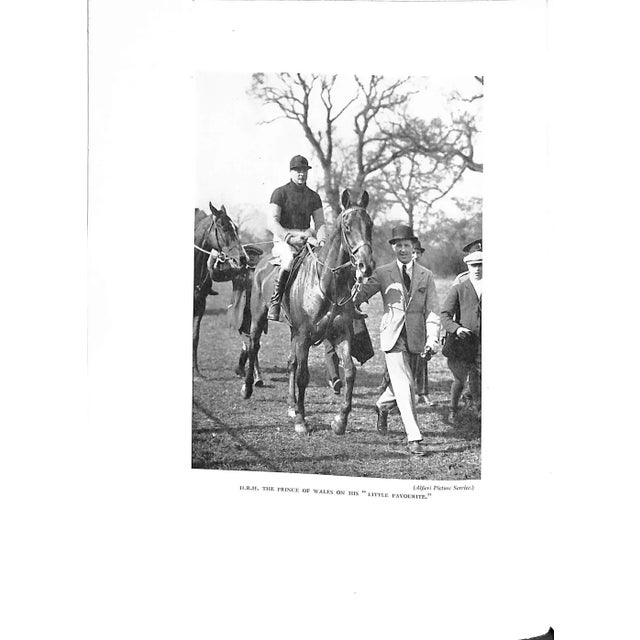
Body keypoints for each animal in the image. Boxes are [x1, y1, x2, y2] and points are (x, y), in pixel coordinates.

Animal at [193, 202, 248, 379]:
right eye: (223, 227)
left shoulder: (200, 305)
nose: (242, 258)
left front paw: (196, 372)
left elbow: (195, 337)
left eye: (235, 227)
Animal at [242, 189, 374, 435]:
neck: (326, 283)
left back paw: (291, 405)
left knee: (291, 363)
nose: (366, 266)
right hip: (258, 317)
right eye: (347, 226)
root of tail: (260, 263)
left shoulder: (340, 333)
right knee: (253, 346)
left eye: (370, 225)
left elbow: (350, 372)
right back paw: (247, 388)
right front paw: (301, 421)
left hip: (293, 331)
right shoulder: (304, 335)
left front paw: (340, 421)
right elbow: (304, 376)